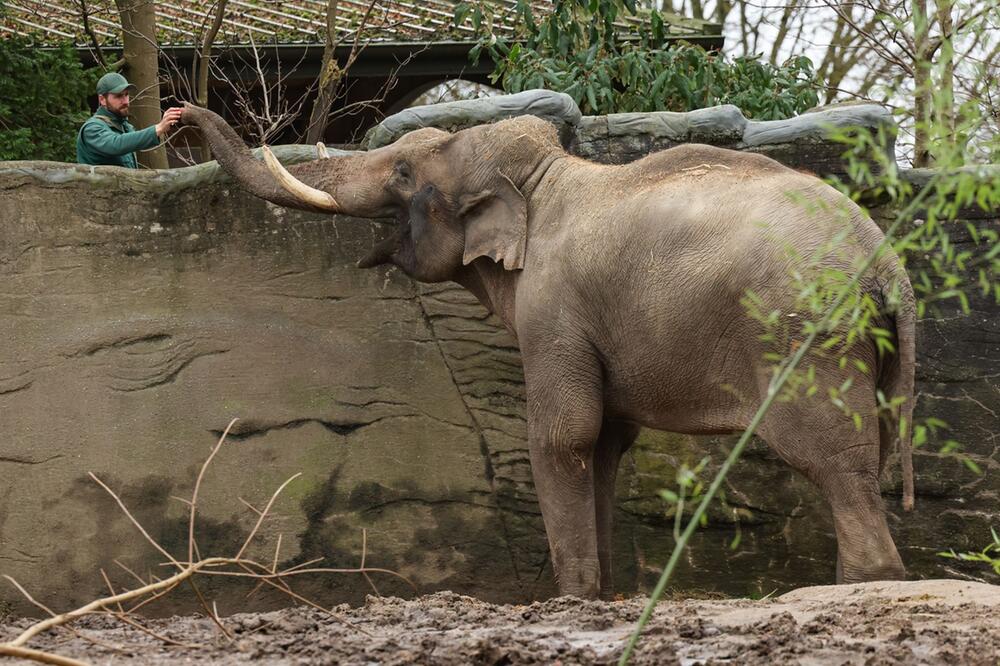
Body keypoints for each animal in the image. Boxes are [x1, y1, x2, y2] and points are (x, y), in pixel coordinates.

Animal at [180, 102, 916, 596]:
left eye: (403, 171)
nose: (177, 115)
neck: (541, 178)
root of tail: (887, 265)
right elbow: (606, 445)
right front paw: (605, 595)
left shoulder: (554, 308)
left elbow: (565, 435)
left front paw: (573, 598)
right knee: (869, 451)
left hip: (806, 333)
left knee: (829, 455)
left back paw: (868, 581)